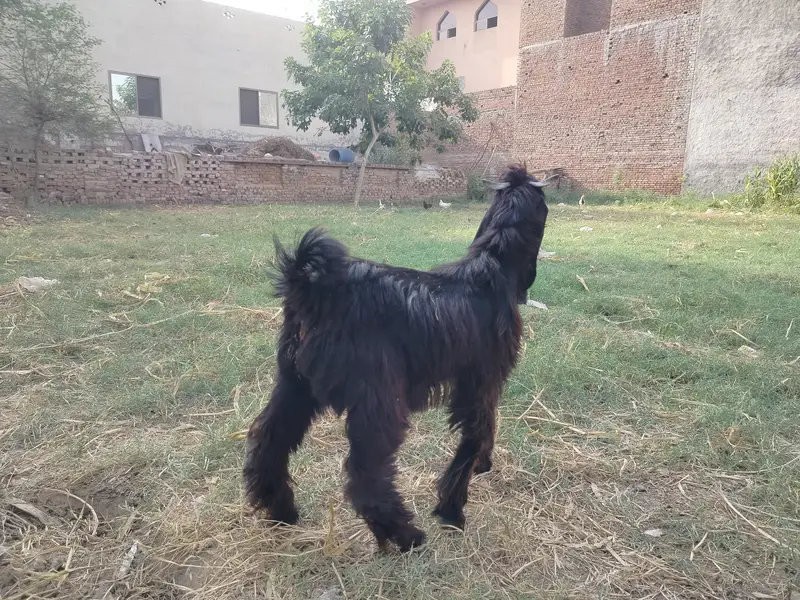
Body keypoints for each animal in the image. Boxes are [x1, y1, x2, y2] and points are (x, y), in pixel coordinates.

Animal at [243, 165, 549, 551]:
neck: (490, 267)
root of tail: (312, 288)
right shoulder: (480, 381)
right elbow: (476, 434)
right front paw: (452, 509)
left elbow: (486, 428)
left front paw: (482, 465)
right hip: (378, 400)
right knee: (365, 477)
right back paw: (405, 535)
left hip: (294, 386)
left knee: (268, 442)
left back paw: (281, 510)